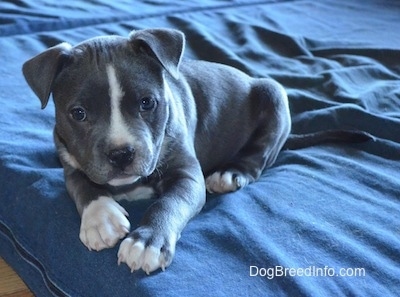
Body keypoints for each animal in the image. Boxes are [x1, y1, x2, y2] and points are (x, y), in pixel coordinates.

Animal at [22, 27, 372, 272]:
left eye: (147, 103)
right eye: (78, 113)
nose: (121, 154)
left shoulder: (188, 176)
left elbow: (168, 204)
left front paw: (147, 242)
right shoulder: (70, 160)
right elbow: (82, 185)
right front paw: (100, 217)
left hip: (272, 95)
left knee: (258, 158)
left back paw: (230, 173)